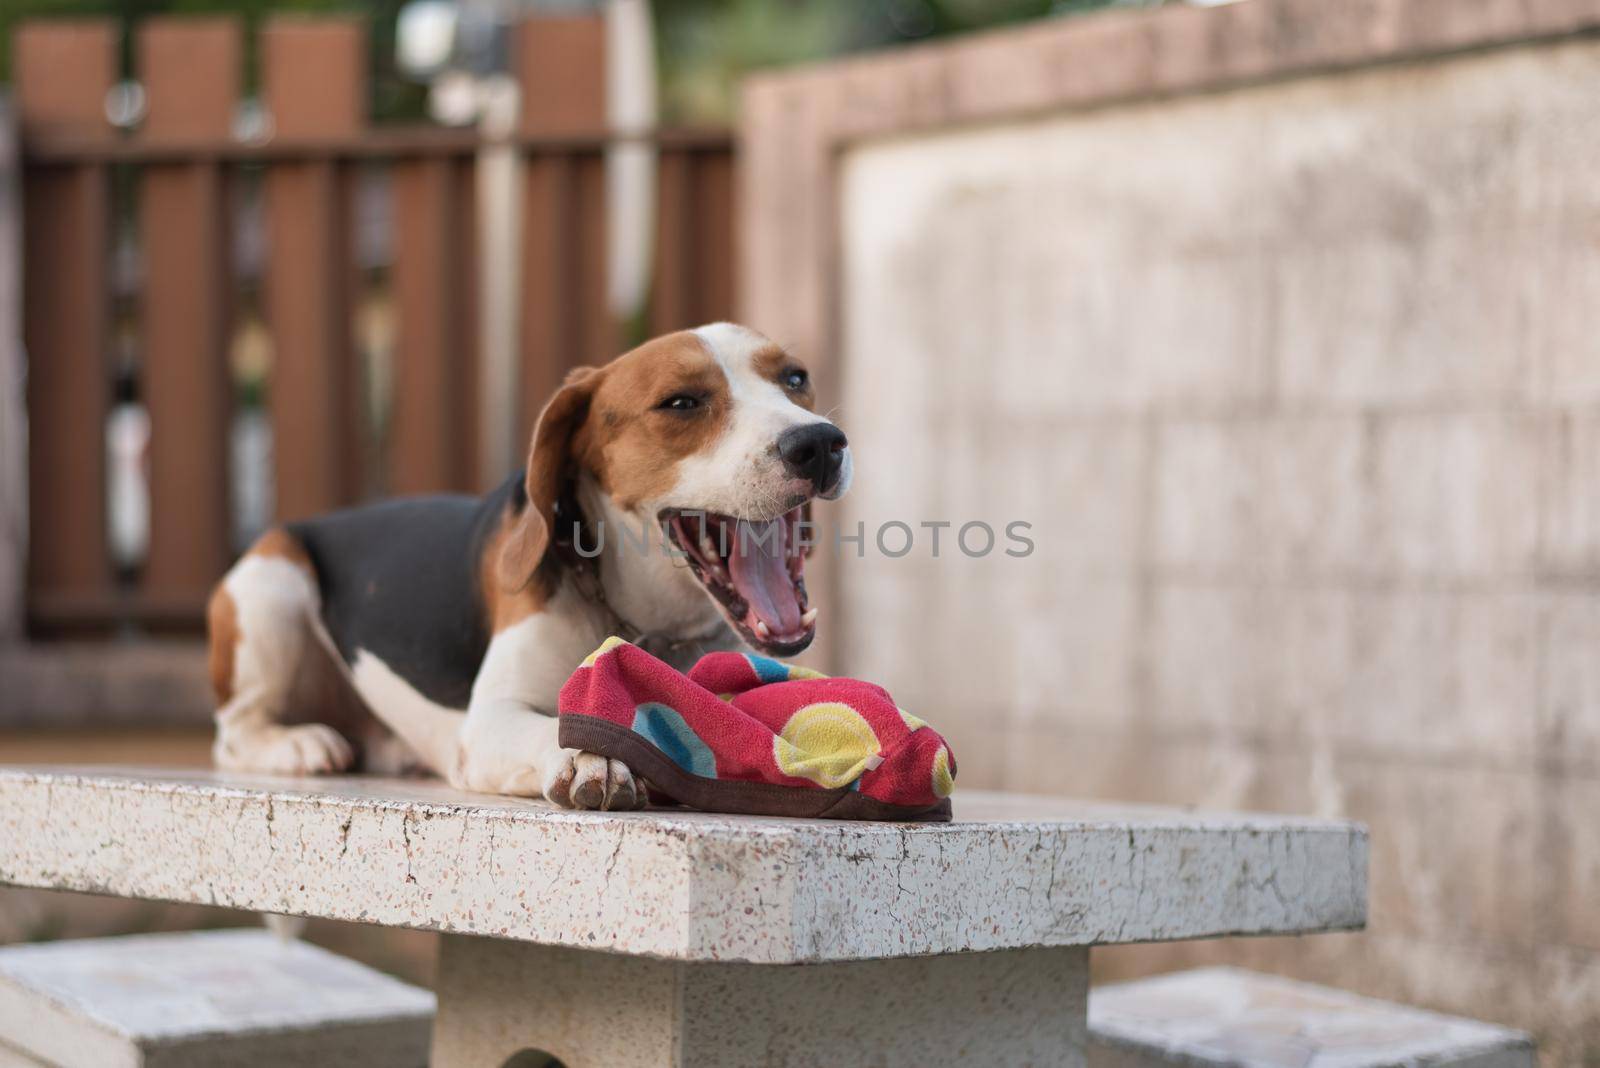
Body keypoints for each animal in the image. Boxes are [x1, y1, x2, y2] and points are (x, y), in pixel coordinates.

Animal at [209, 326, 851, 808]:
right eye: (682, 402)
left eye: (795, 378)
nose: (819, 442)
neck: (649, 620)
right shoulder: (491, 718)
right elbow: (555, 723)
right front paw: (592, 757)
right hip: (271, 581)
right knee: (233, 731)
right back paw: (299, 744)